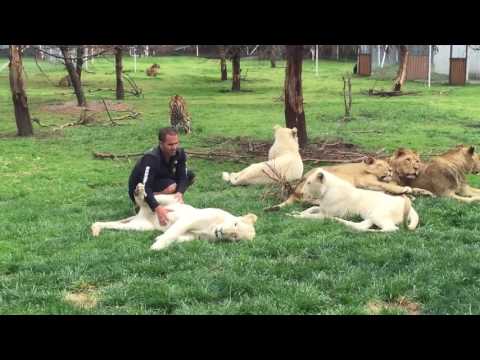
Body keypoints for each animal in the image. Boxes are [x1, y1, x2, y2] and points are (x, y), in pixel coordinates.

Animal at [91, 183, 256, 250]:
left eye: (235, 237)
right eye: (235, 225)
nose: (221, 232)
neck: (212, 229)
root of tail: (141, 213)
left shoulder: (193, 237)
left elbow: (176, 237)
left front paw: (158, 240)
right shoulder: (189, 219)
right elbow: (173, 233)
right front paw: (156, 247)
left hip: (139, 227)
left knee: (112, 224)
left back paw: (95, 230)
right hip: (170, 199)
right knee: (146, 199)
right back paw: (139, 190)